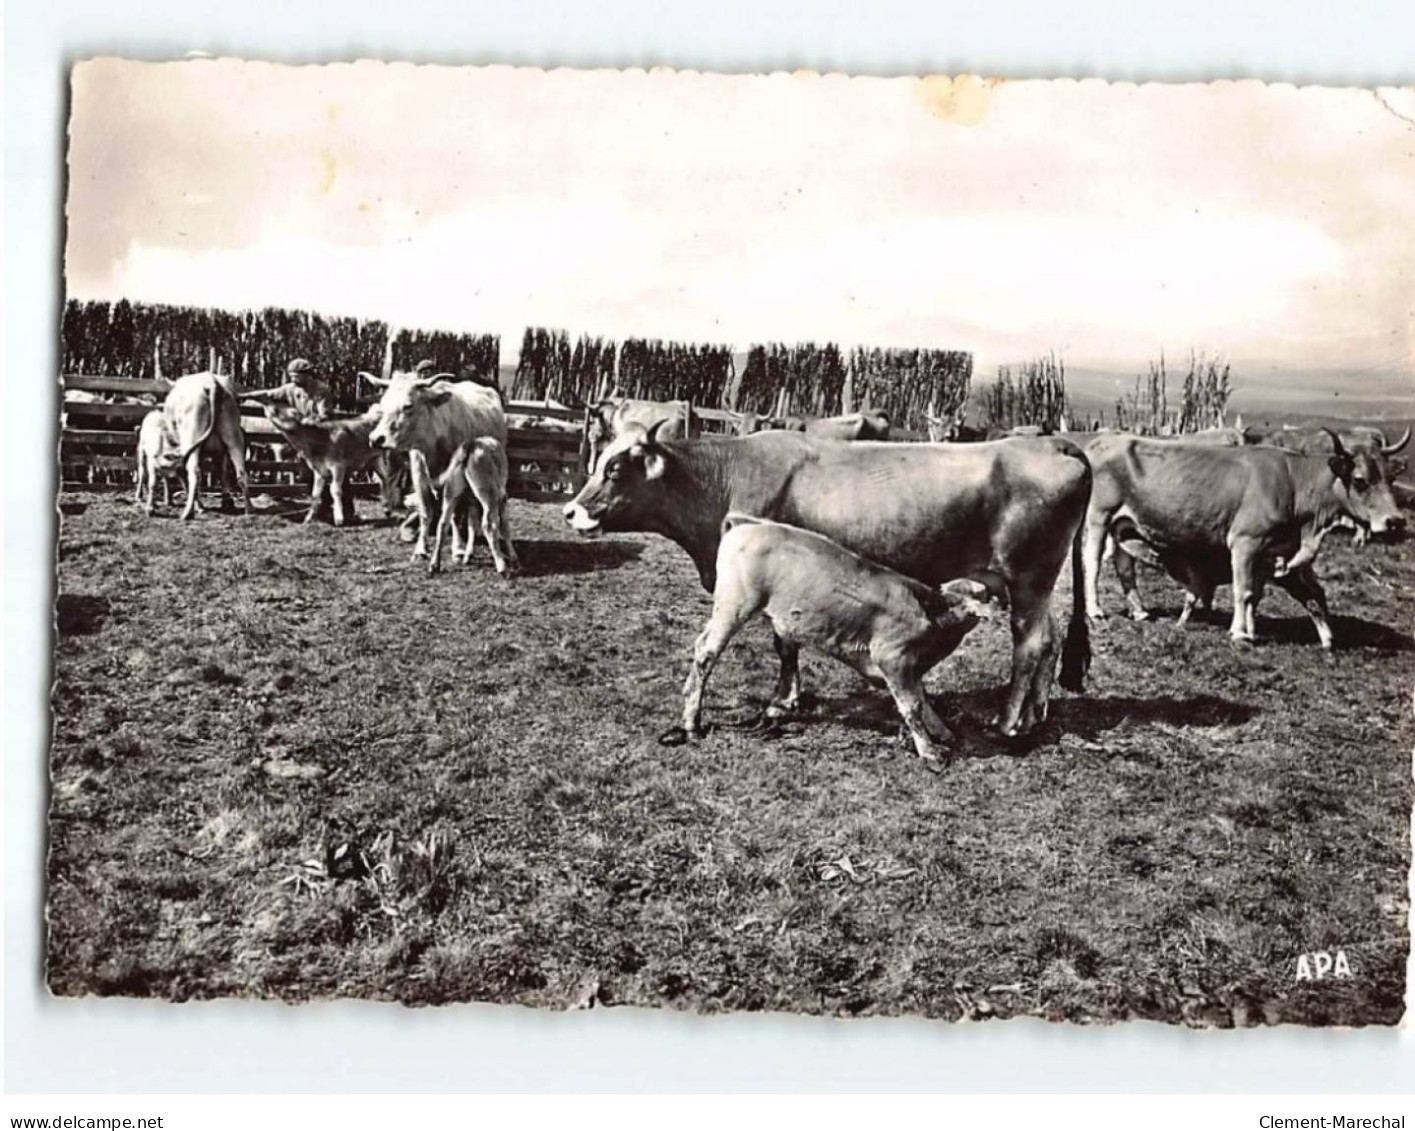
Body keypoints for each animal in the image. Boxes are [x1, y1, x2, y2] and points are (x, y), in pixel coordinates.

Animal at [261, 404, 401, 529]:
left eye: (292, 412)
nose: (270, 407)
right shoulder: (319, 470)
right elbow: (315, 493)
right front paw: (309, 518)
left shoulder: (338, 466)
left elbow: (335, 490)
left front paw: (339, 518)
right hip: (375, 459)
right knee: (384, 479)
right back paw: (386, 508)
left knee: (393, 475)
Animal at [359, 368, 509, 560]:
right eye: (383, 403)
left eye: (408, 405)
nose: (376, 438)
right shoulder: (419, 474)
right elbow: (425, 511)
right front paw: (421, 548)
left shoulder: (454, 480)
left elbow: (454, 515)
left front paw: (457, 548)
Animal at [563, 424, 1092, 736]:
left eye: (615, 469)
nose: (570, 511)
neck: (725, 476)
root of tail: (1050, 442)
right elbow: (786, 641)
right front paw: (787, 699)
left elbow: (783, 642)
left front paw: (781, 702)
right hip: (1035, 585)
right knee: (1051, 639)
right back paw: (1035, 714)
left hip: (1028, 578)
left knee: (1029, 645)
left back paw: (1007, 722)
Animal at [679, 518, 1001, 764]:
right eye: (983, 595)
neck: (931, 612)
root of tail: (745, 526)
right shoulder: (892, 657)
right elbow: (911, 705)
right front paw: (930, 752)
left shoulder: (910, 665)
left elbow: (922, 698)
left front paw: (943, 731)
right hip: (735, 606)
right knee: (707, 653)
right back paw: (692, 723)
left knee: (699, 644)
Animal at [1081, 430, 1403, 645]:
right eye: (1360, 481)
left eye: (1390, 478)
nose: (1396, 521)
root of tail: (1102, 441)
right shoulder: (1245, 542)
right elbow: (1243, 590)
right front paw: (1239, 632)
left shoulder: (1270, 552)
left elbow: (1258, 594)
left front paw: (1252, 629)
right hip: (1099, 516)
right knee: (1092, 563)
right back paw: (1095, 610)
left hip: (1124, 523)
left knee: (1124, 564)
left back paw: (1139, 611)